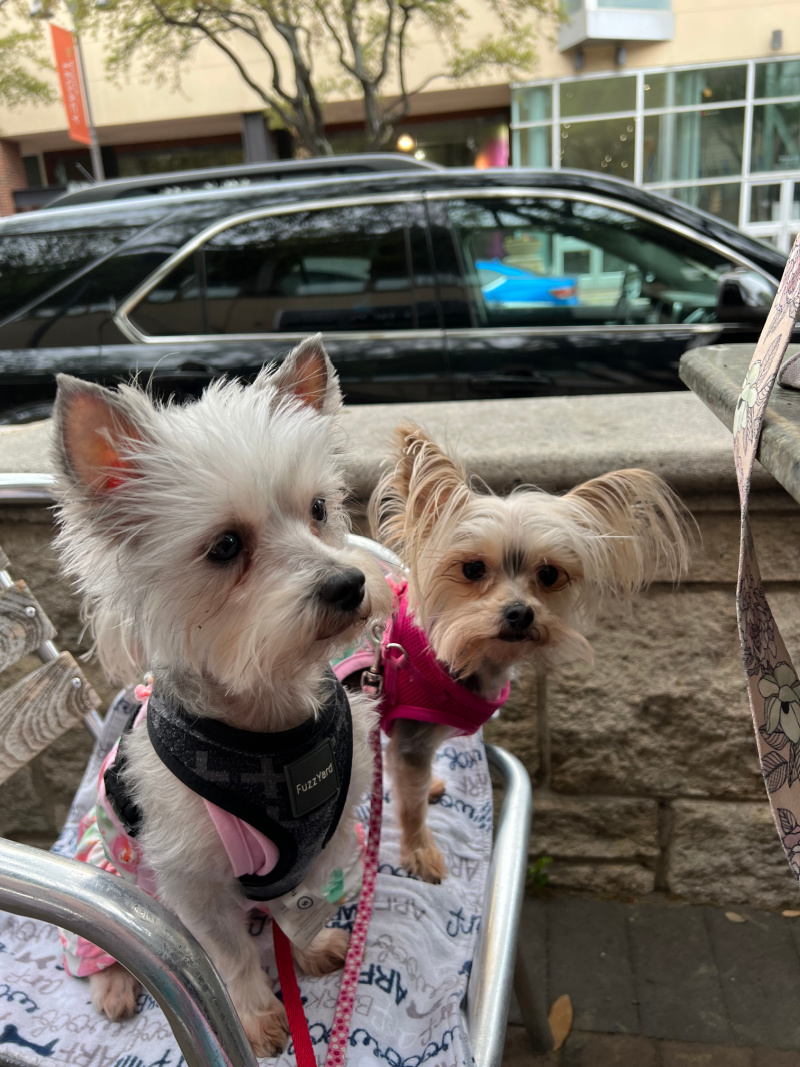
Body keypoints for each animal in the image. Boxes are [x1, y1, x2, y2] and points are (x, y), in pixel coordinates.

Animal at [369, 422, 691, 883]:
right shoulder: (412, 739)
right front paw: (420, 854)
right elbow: (411, 807)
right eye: (472, 569)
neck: (451, 660)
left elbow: (408, 782)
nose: (520, 612)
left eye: (549, 574)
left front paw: (425, 791)